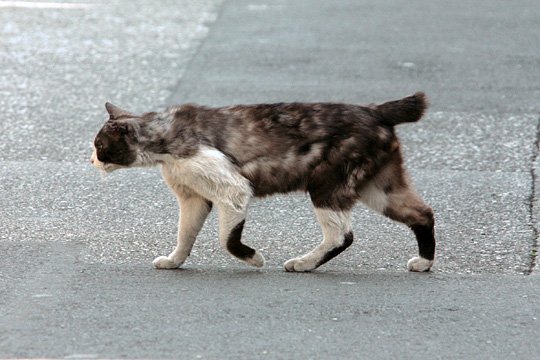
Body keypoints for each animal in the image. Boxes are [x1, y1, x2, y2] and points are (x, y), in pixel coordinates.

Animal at [88, 93, 434, 272]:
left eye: (99, 145)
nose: (90, 159)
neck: (163, 137)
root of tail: (374, 111)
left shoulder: (233, 189)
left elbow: (227, 239)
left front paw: (253, 257)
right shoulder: (194, 199)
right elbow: (185, 235)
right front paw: (174, 261)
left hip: (327, 184)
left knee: (341, 236)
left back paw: (304, 264)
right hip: (379, 188)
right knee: (423, 214)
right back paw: (424, 262)